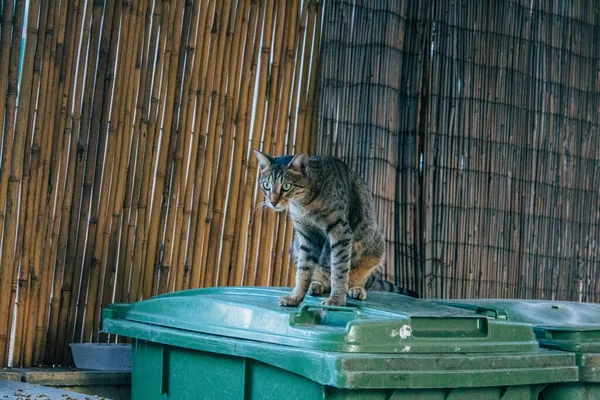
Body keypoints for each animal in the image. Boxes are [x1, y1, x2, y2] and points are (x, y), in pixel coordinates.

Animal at [251, 150, 414, 306]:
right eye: (266, 185)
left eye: (286, 186)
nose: (272, 202)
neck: (303, 205)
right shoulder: (307, 236)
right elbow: (303, 270)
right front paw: (295, 297)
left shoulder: (340, 232)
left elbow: (339, 269)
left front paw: (336, 299)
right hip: (296, 247)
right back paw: (316, 285)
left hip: (377, 248)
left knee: (362, 280)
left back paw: (356, 289)